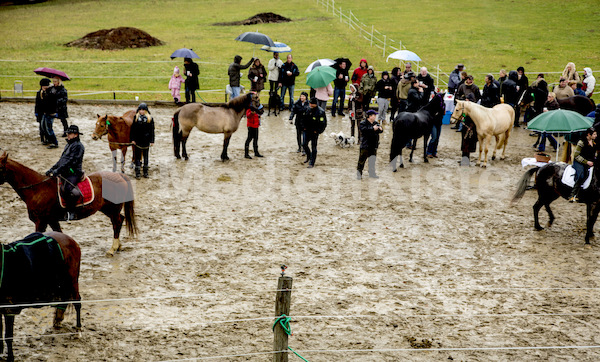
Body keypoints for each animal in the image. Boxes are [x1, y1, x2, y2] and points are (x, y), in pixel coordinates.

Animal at [0, 151, 136, 256]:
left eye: (0, 167)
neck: (37, 189)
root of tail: (120, 175)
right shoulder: (51, 220)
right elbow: (58, 233)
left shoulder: (41, 221)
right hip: (107, 209)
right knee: (120, 220)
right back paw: (118, 246)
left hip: (112, 209)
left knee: (116, 223)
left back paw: (112, 249)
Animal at [0, 232, 81, 362]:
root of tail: (72, 240)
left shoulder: (9, 308)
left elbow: (8, 336)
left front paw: (10, 357)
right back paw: (58, 320)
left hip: (72, 281)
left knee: (77, 302)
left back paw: (78, 330)